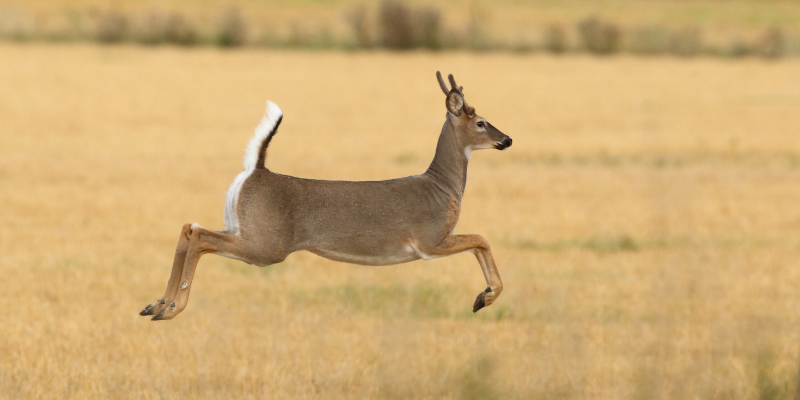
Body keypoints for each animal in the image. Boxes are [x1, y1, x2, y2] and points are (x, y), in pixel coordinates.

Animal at [139, 72, 513, 321]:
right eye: (480, 122)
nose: (507, 139)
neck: (440, 187)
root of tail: (256, 170)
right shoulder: (430, 239)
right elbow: (482, 239)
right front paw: (485, 297)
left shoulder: (436, 241)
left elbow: (480, 243)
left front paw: (482, 297)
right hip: (266, 244)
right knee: (200, 236)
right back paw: (172, 307)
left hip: (243, 228)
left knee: (190, 228)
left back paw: (155, 305)